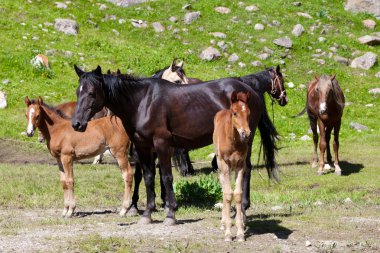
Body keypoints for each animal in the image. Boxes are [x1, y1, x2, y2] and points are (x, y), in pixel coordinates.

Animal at [72, 65, 280, 225]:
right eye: (78, 92)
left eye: (91, 93)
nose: (77, 124)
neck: (142, 102)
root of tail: (249, 89)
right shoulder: (143, 147)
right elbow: (148, 177)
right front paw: (147, 213)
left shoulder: (162, 144)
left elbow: (166, 177)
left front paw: (170, 213)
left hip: (246, 139)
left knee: (246, 170)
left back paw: (242, 209)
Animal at [214, 91, 252, 241]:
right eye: (235, 113)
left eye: (249, 113)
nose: (246, 133)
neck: (234, 142)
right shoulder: (224, 164)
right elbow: (228, 194)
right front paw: (228, 233)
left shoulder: (241, 165)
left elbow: (237, 194)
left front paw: (240, 232)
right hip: (221, 164)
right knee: (224, 189)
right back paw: (223, 222)